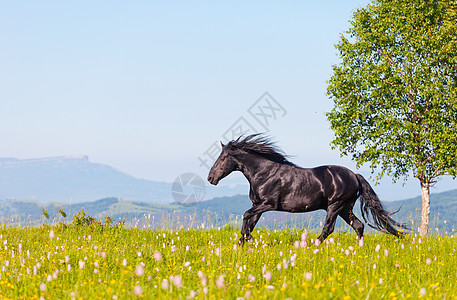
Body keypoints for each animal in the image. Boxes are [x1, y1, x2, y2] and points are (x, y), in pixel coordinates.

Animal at [208, 135, 406, 245]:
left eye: (223, 157)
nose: (210, 178)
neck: (264, 173)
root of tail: (354, 175)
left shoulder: (268, 204)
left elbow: (246, 216)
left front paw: (247, 241)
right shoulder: (258, 205)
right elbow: (249, 222)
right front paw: (242, 244)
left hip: (335, 205)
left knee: (328, 228)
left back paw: (311, 246)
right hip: (345, 208)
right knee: (358, 225)